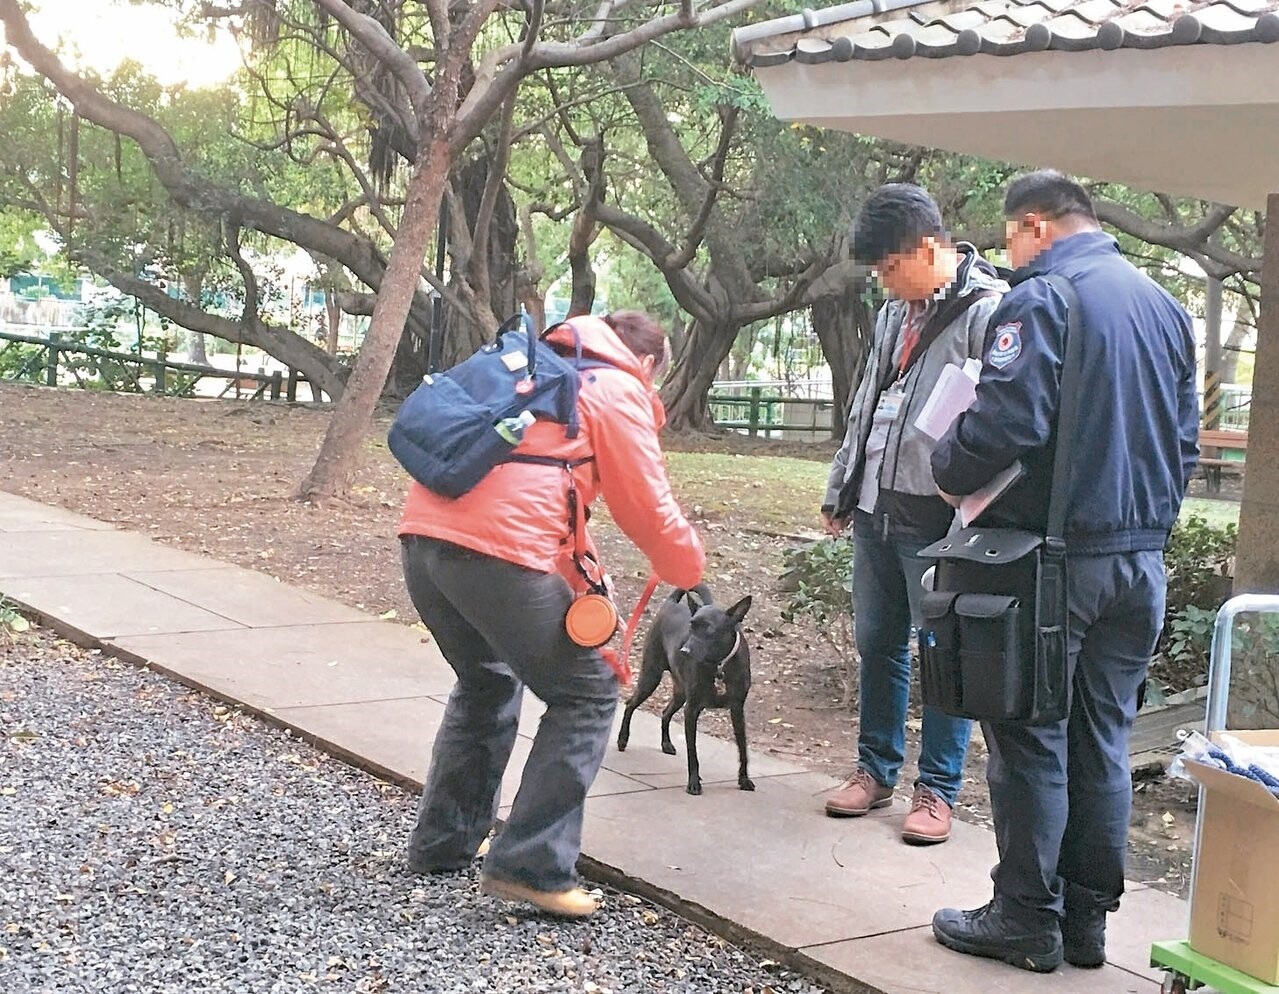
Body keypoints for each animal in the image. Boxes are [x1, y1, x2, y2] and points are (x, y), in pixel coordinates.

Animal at [616, 585, 752, 793]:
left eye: (709, 629)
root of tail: (671, 603)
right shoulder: (692, 709)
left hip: (679, 694)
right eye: (691, 626)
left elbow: (743, 748)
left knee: (665, 713)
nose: (684, 651)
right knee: (631, 703)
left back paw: (666, 743)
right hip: (651, 677)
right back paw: (623, 739)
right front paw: (694, 782)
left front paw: (744, 779)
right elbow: (692, 752)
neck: (719, 665)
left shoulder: (737, 709)